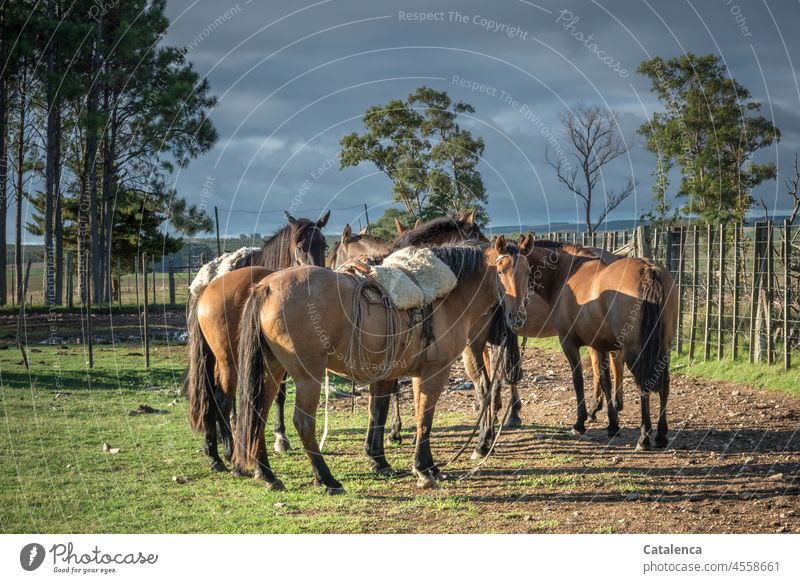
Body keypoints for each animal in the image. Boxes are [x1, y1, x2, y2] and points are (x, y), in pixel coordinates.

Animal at [184, 212, 328, 472]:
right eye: (300, 247)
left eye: (325, 245)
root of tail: (205, 289)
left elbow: (280, 393)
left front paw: (281, 437)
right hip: (226, 359)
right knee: (220, 396)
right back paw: (225, 447)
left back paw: (215, 449)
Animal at [233, 237, 532, 492]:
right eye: (501, 270)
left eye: (528, 272)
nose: (517, 318)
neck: (448, 295)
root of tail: (266, 287)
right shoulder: (435, 372)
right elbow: (424, 417)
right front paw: (423, 469)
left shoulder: (402, 374)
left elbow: (388, 413)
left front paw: (410, 464)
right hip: (308, 376)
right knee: (303, 422)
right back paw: (326, 478)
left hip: (271, 370)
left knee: (257, 414)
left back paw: (267, 475)